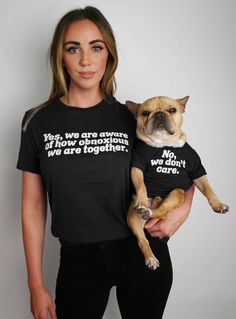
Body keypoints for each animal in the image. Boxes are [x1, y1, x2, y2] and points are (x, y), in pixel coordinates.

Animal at [126, 96, 230, 272]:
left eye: (172, 110)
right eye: (145, 113)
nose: (159, 114)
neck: (163, 144)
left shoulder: (197, 170)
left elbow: (208, 189)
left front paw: (218, 205)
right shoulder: (137, 166)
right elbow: (141, 185)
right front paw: (141, 199)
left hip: (177, 193)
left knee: (163, 212)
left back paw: (153, 208)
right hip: (133, 218)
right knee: (143, 240)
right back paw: (151, 257)